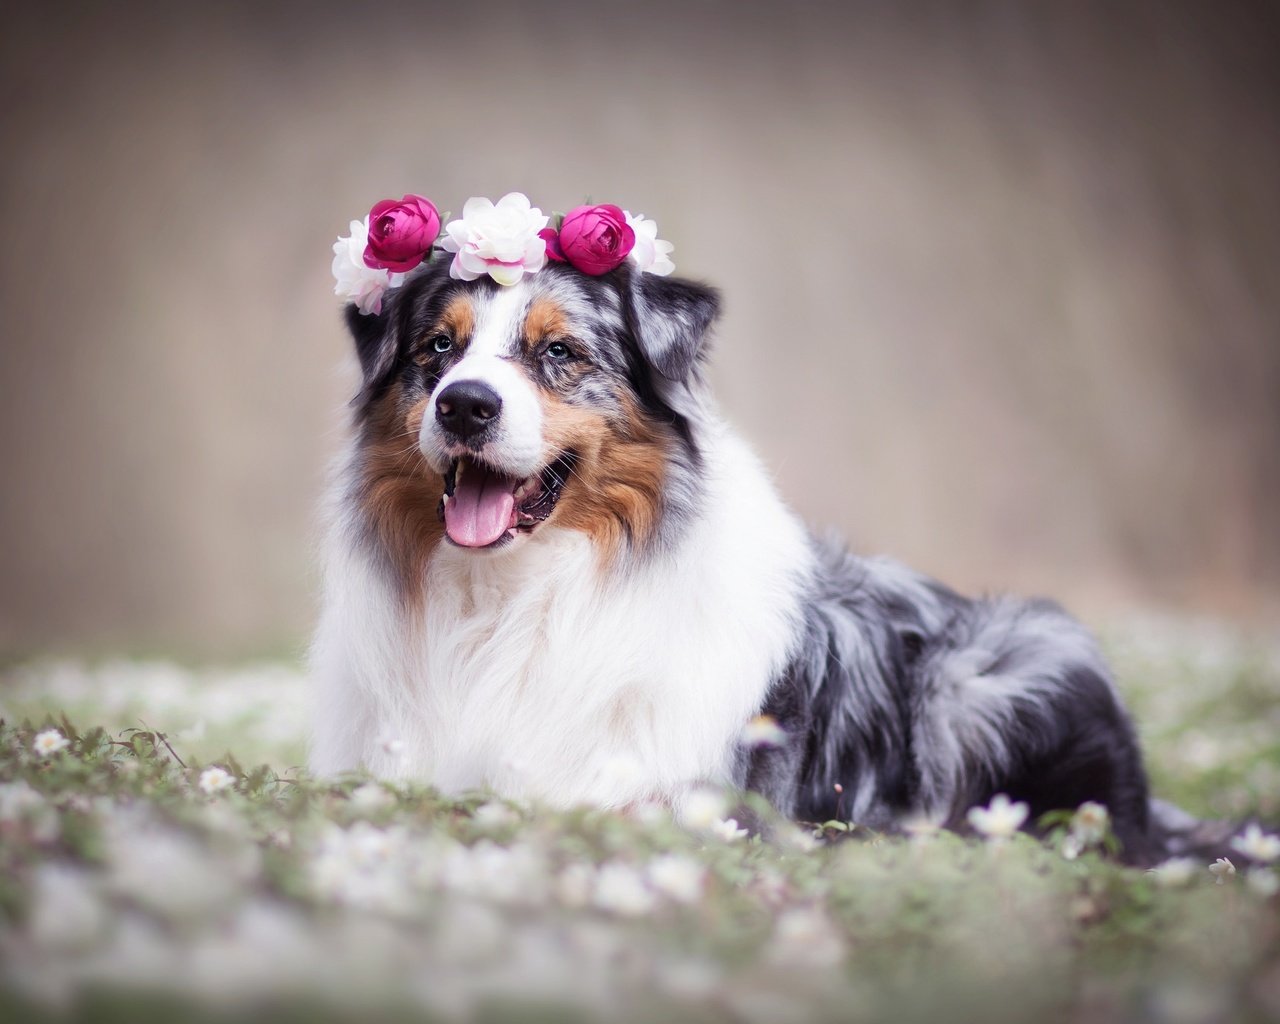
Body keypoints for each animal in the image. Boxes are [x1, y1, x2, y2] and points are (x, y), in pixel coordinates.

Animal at [314, 249, 1213, 865]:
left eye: (559, 354)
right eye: (437, 348)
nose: (464, 405)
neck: (508, 594)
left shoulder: (688, 798)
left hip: (1001, 666)